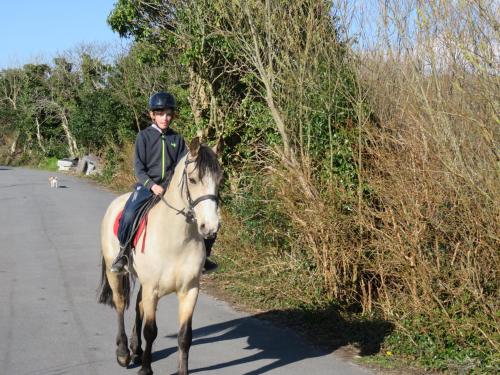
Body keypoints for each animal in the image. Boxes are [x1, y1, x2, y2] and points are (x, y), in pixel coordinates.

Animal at [98, 138, 223, 375]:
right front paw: (146, 369)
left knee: (138, 305)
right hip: (116, 274)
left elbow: (185, 337)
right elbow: (151, 331)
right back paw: (123, 353)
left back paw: (136, 349)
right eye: (193, 179)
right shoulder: (153, 289)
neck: (176, 240)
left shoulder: (189, 290)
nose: (210, 227)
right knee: (120, 304)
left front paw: (182, 371)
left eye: (219, 180)